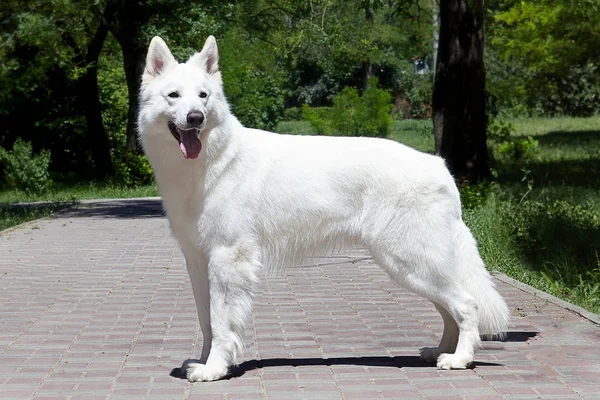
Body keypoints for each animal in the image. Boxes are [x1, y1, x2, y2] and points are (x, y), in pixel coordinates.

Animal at [138, 36, 508, 382]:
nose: (195, 118)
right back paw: (440, 351)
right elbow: (206, 320)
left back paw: (460, 359)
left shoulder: (228, 259)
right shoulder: (199, 262)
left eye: (203, 96)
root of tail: (440, 167)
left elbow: (220, 321)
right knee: (449, 310)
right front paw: (203, 362)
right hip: (414, 267)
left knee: (466, 304)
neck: (210, 161)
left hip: (409, 262)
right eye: (174, 95)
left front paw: (214, 369)